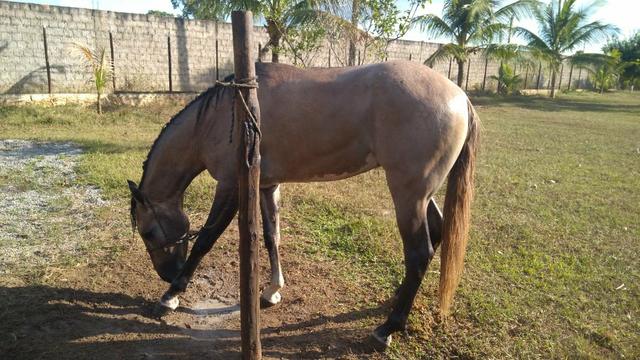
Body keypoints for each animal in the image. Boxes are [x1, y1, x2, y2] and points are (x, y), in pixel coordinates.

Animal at [127, 59, 478, 348]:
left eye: (148, 232)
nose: (167, 274)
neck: (224, 114)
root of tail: (460, 97)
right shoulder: (266, 186)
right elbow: (272, 238)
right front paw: (272, 291)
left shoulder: (230, 186)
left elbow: (205, 240)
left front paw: (171, 295)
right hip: (422, 195)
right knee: (436, 233)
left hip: (408, 194)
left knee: (419, 252)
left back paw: (387, 328)